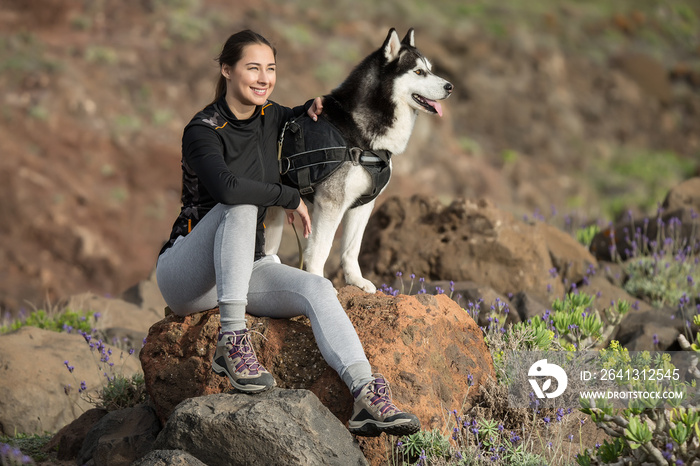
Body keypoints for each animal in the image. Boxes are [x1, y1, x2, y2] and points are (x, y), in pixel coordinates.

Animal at [266, 28, 454, 292]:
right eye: (418, 72)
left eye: (430, 68)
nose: (450, 86)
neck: (361, 136)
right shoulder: (330, 204)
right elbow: (320, 250)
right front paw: (319, 282)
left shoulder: (364, 204)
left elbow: (351, 249)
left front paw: (356, 280)